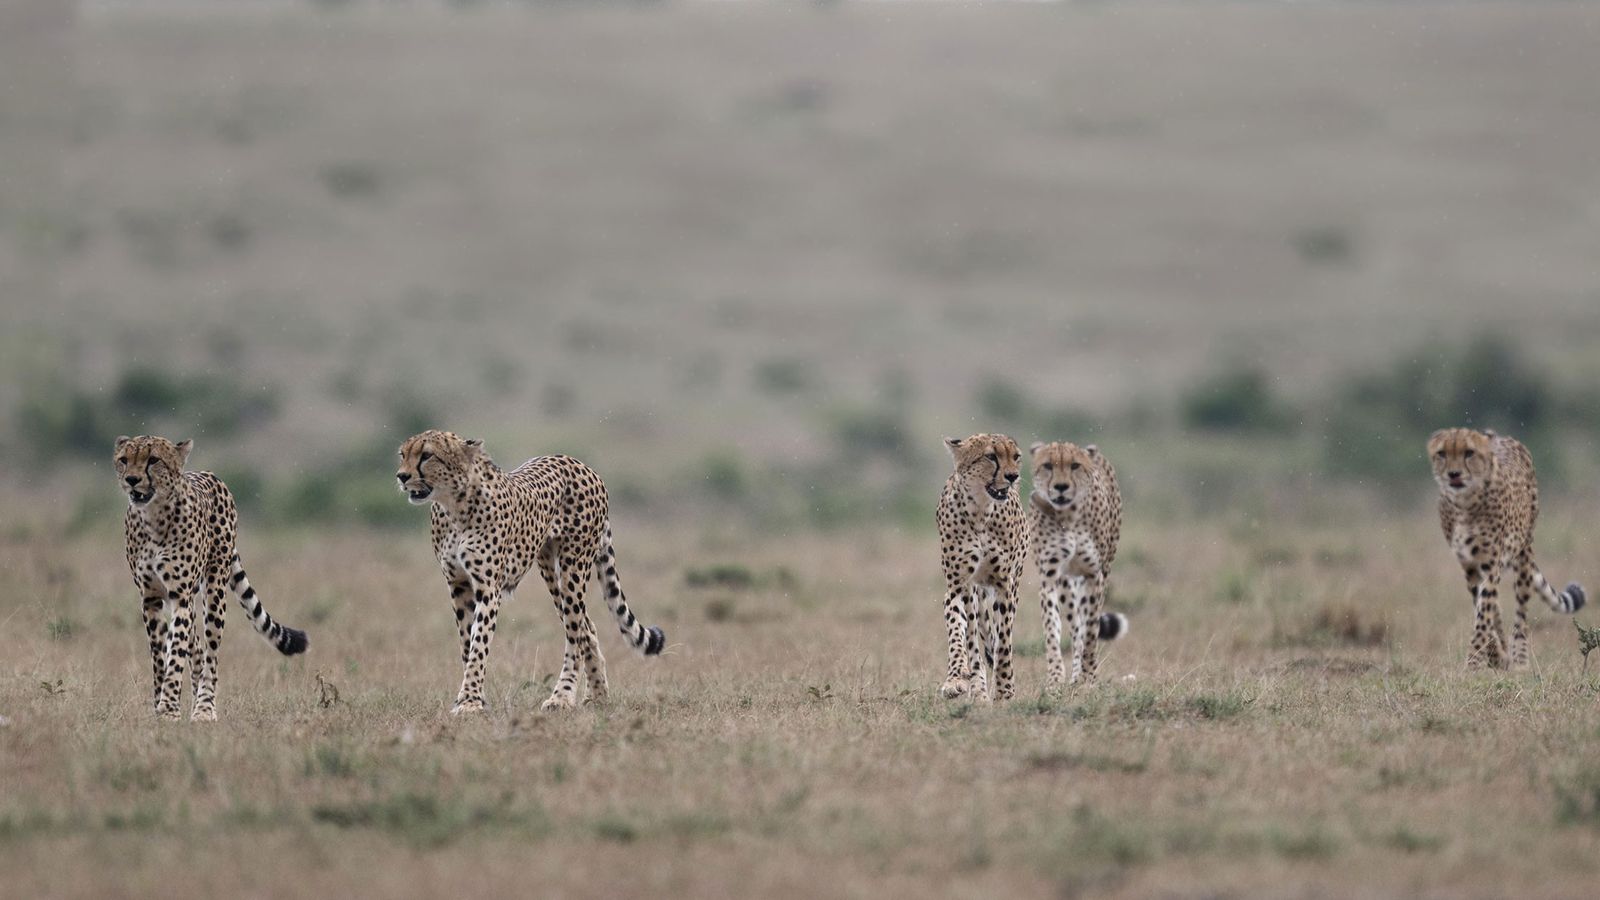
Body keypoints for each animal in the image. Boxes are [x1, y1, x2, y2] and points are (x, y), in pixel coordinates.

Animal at [114, 432, 307, 717]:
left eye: (153, 460)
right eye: (124, 460)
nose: (131, 480)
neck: (154, 517)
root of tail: (208, 473)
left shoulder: (180, 595)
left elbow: (176, 654)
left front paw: (169, 708)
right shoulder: (150, 597)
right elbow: (160, 656)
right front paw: (160, 704)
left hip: (214, 587)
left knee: (210, 653)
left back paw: (204, 707)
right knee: (195, 646)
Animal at [396, 432, 665, 711]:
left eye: (427, 455)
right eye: (402, 455)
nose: (401, 476)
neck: (453, 506)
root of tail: (579, 463)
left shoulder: (487, 588)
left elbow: (479, 643)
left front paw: (470, 701)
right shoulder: (458, 584)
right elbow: (467, 643)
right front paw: (472, 698)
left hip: (573, 568)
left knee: (575, 632)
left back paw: (562, 697)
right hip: (549, 569)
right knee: (587, 627)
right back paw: (597, 696)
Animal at [934, 435, 1024, 701]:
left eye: (1016, 456)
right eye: (991, 456)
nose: (1013, 476)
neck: (981, 511)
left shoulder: (1004, 586)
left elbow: (1004, 643)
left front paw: (1004, 690)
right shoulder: (958, 586)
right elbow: (958, 633)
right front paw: (956, 680)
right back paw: (978, 690)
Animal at [1030, 438, 1132, 685]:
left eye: (1074, 465)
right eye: (1048, 465)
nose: (1061, 487)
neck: (1067, 515)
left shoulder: (1094, 575)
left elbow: (1091, 630)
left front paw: (1088, 675)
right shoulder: (1050, 577)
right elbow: (1052, 629)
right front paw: (1055, 677)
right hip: (1067, 584)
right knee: (1075, 625)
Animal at [1433, 425, 1580, 666]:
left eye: (1469, 453)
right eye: (1443, 453)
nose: (1454, 474)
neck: (1466, 502)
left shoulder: (1491, 562)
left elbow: (1485, 610)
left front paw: (1476, 660)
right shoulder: (1469, 565)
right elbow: (1485, 608)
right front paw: (1492, 653)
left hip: (1524, 552)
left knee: (1521, 610)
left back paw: (1519, 658)